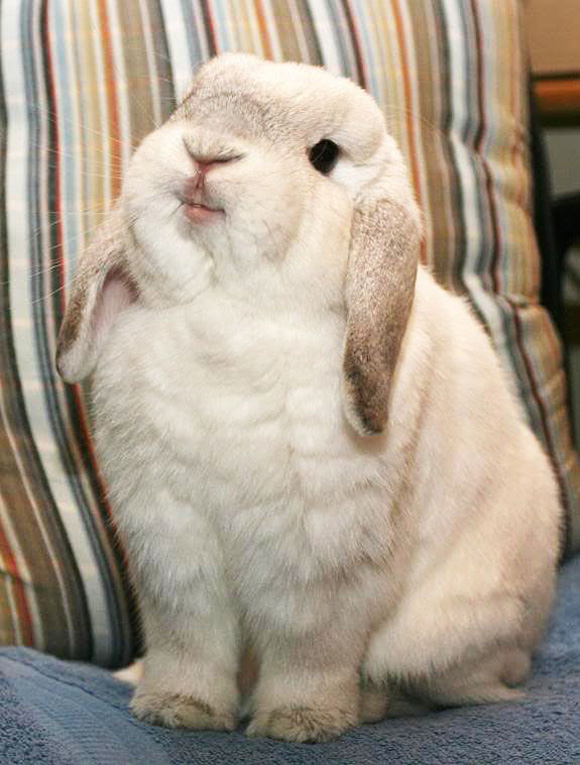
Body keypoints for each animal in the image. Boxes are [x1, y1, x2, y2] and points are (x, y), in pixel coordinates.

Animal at [56, 53, 562, 743]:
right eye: (184, 105)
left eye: (323, 155)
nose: (206, 153)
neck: (228, 315)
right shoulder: (172, 550)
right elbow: (190, 645)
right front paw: (178, 711)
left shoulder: (320, 571)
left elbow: (309, 655)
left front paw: (298, 724)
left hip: (449, 638)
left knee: (445, 684)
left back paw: (370, 704)